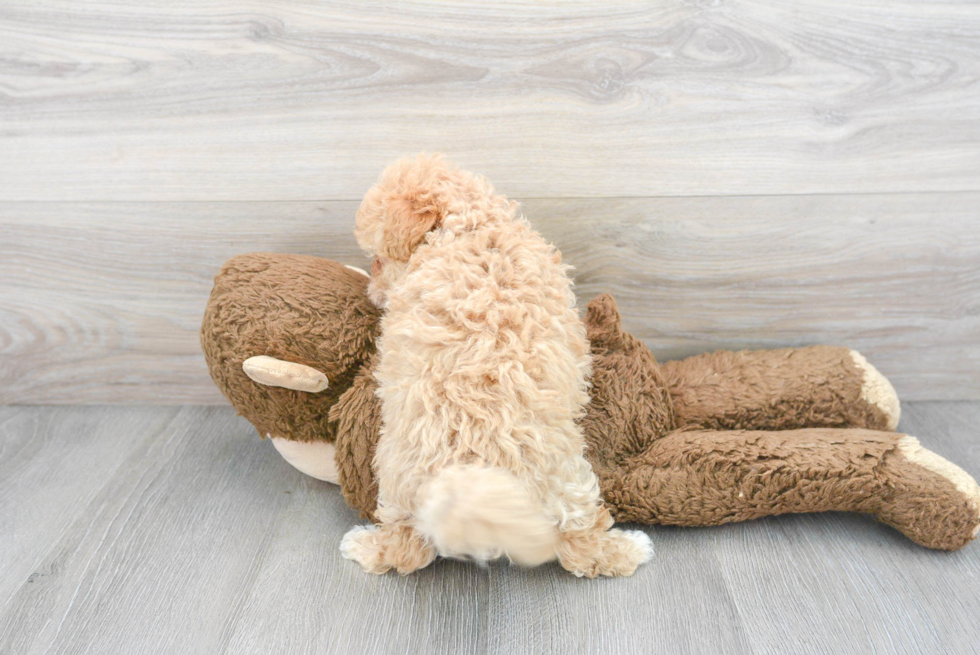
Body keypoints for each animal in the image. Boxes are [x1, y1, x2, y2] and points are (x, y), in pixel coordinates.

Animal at [340, 156, 656, 576]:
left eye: (377, 259)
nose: (371, 292)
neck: (471, 224)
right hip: (564, 479)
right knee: (579, 542)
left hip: (401, 478)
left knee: (405, 548)